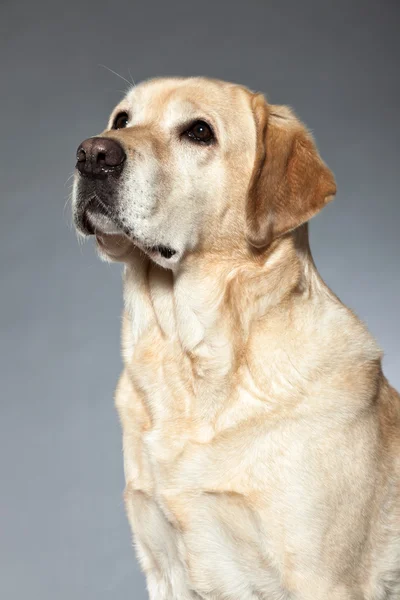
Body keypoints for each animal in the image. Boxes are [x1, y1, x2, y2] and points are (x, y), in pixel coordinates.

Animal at [72, 77, 400, 596]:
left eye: (199, 132)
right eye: (122, 120)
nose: (92, 154)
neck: (188, 357)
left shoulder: (320, 578)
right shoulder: (163, 568)